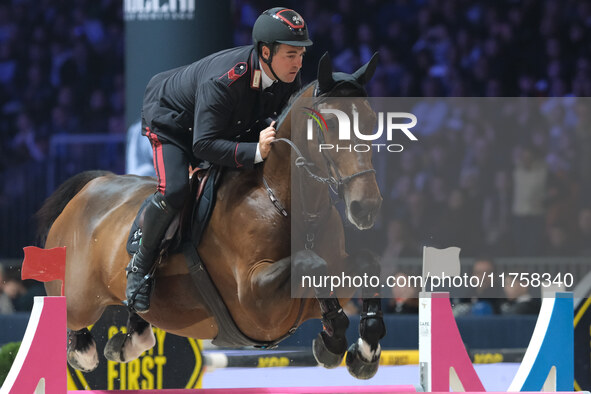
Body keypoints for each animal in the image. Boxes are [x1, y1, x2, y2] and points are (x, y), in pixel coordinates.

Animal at [38, 52, 388, 378]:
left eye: (371, 122)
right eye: (329, 125)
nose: (366, 206)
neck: (286, 203)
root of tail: (90, 188)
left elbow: (367, 262)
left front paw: (363, 352)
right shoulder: (254, 299)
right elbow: (311, 263)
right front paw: (332, 342)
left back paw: (127, 340)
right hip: (79, 301)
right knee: (73, 328)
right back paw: (86, 348)